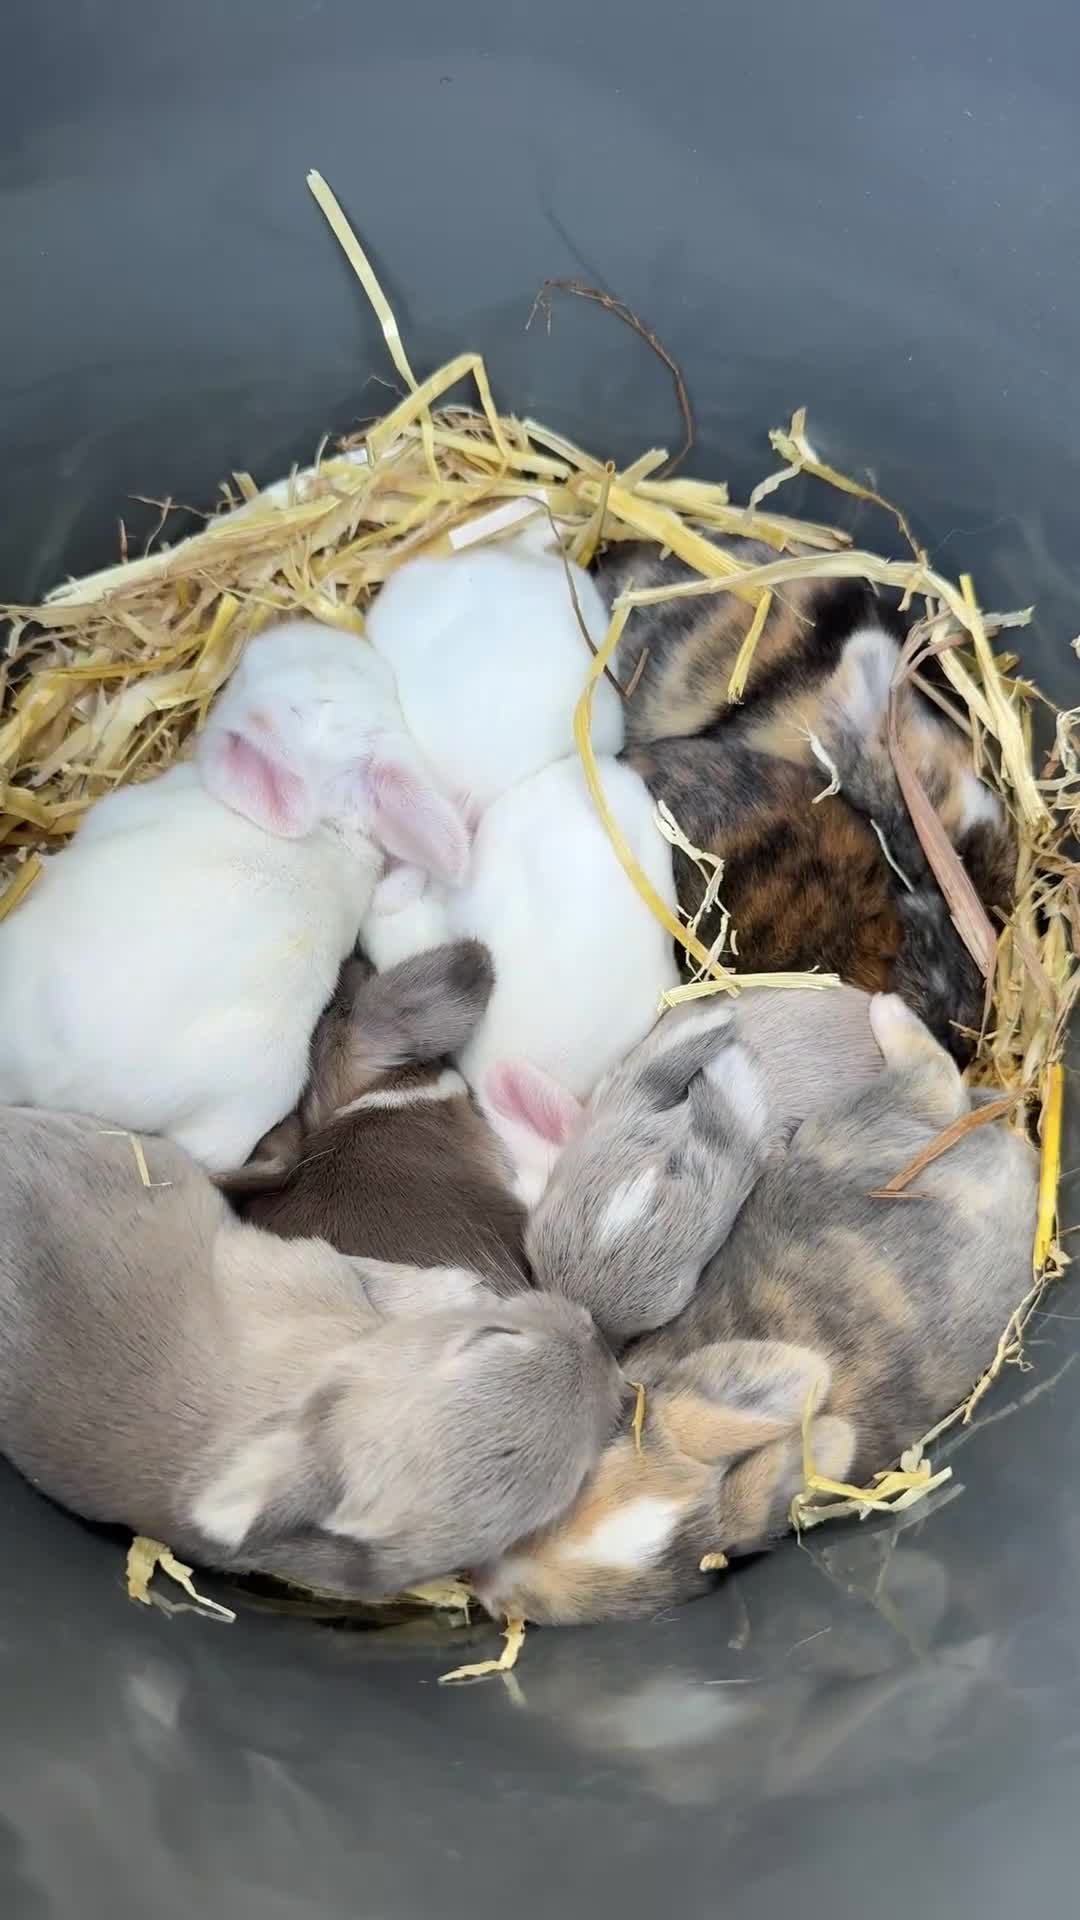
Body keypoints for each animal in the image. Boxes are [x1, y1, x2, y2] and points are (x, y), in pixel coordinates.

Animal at [0, 1106, 624, 1600]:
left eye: (572, 1481)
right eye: (490, 1337)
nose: (593, 1334)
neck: (329, 1368)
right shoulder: (310, 1267)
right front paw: (461, 1287)